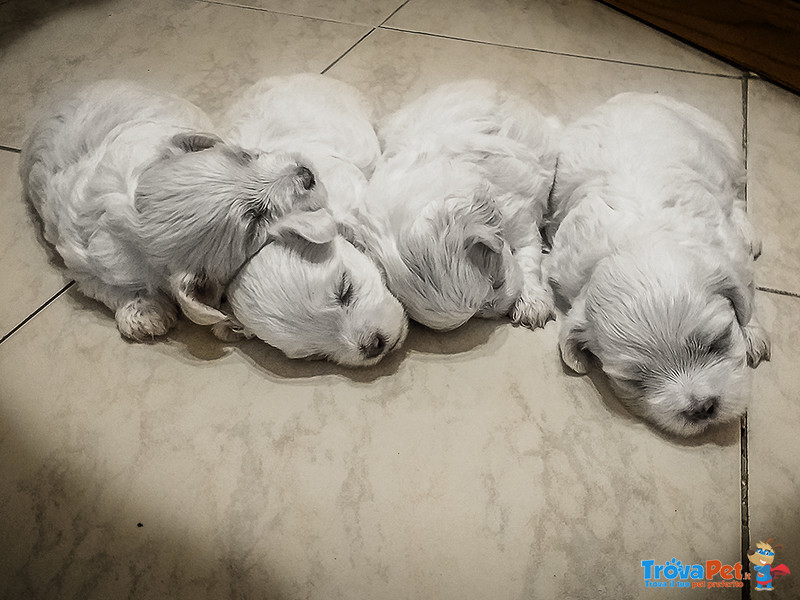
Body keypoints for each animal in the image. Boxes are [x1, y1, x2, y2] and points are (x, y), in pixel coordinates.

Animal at [18, 79, 320, 340]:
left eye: (244, 156)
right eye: (257, 220)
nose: (307, 174)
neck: (129, 219)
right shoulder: (85, 267)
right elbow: (108, 287)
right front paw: (144, 313)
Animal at [360, 79, 560, 330]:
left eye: (497, 281)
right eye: (479, 313)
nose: (496, 309)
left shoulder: (519, 215)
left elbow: (528, 258)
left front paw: (532, 304)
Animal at [544, 91, 768, 434]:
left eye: (717, 342)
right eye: (636, 379)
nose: (702, 408)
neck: (639, 238)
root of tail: (629, 95)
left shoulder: (728, 250)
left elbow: (746, 291)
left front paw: (752, 332)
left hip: (721, 144)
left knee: (734, 194)